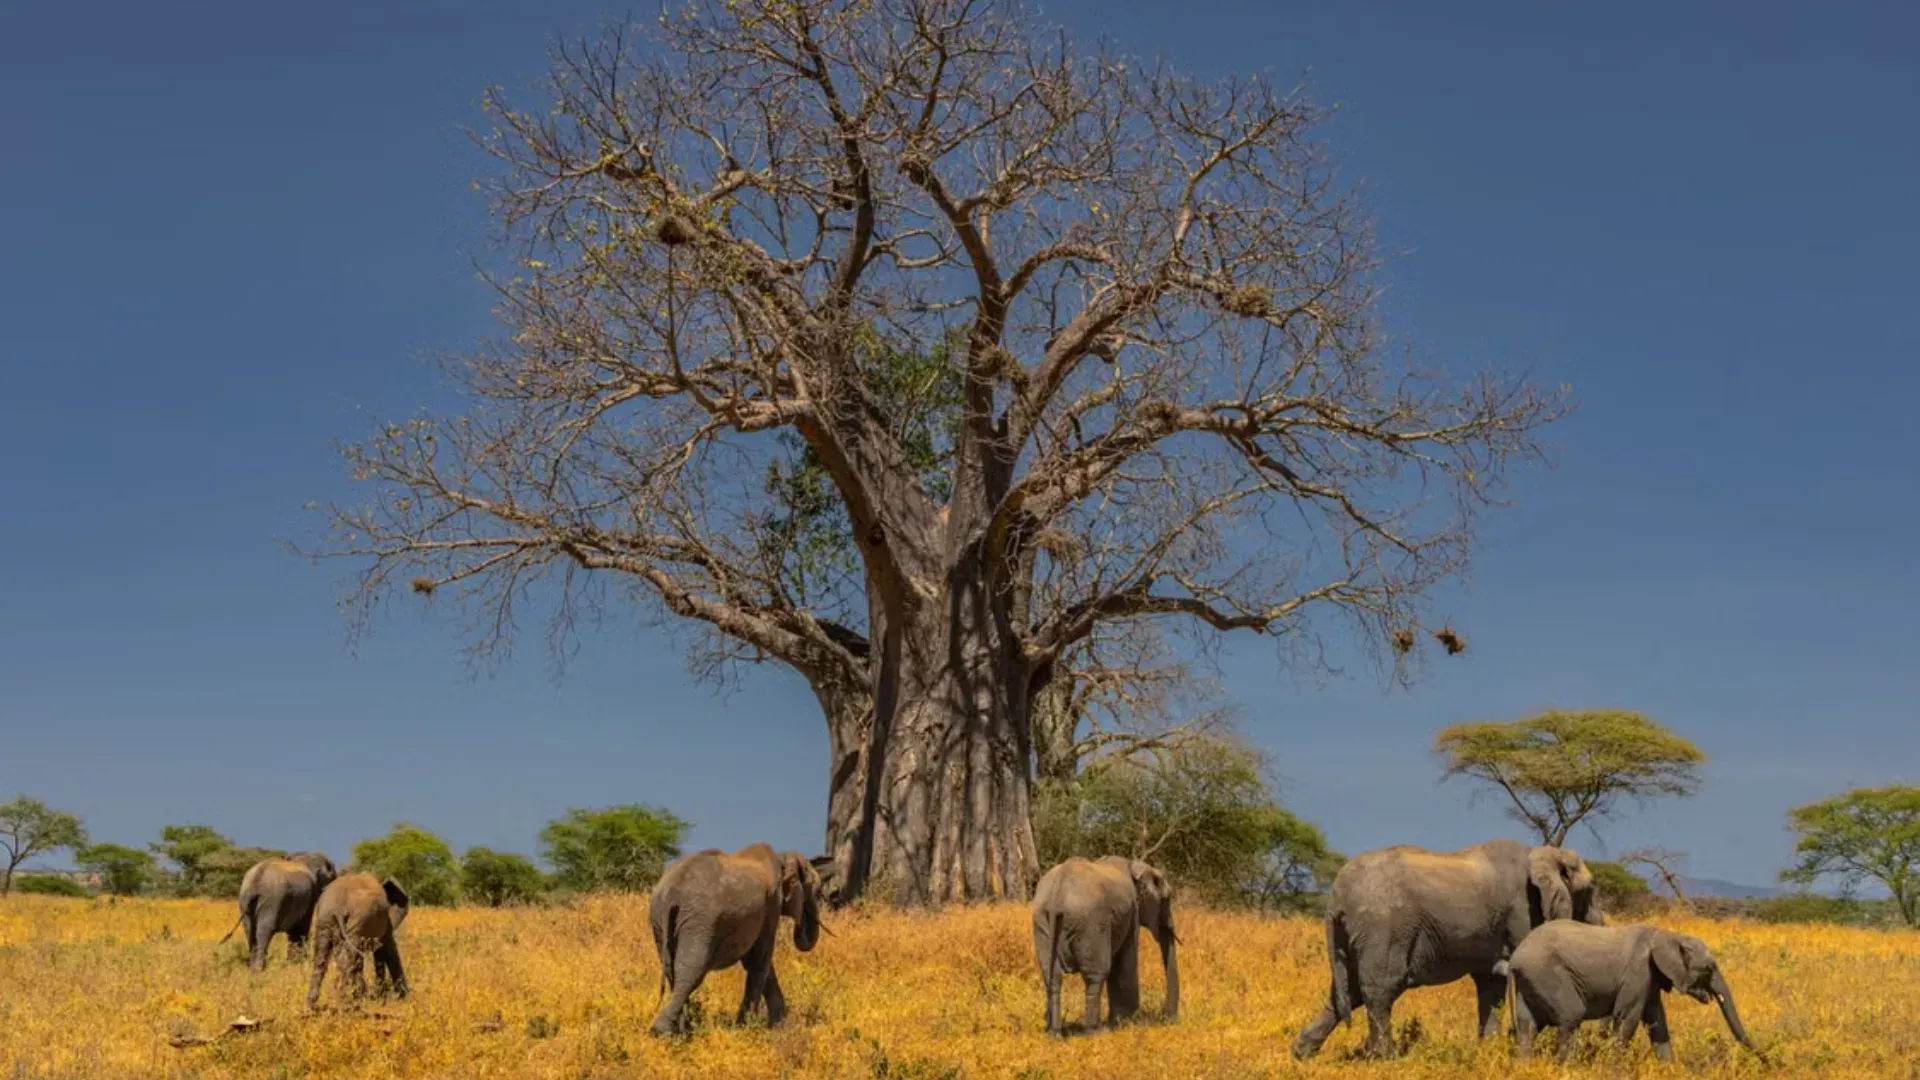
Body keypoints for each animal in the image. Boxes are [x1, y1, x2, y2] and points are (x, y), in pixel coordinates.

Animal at [305, 873, 411, 1010]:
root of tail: (338, 908)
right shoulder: (385, 922)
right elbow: (386, 950)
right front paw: (400, 998)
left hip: (325, 919)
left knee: (322, 956)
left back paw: (311, 1005)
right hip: (359, 919)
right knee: (348, 958)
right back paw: (346, 1003)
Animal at [647, 843, 823, 1037]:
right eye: (815, 890)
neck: (781, 857)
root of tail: (672, 892)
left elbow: (757, 961)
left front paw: (779, 1027)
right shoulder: (771, 905)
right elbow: (760, 959)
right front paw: (747, 1029)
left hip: (660, 919)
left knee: (671, 969)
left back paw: (681, 1031)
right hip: (700, 922)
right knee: (692, 970)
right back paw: (663, 1032)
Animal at [1030, 856, 1179, 1035]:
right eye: (1166, 899)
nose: (1170, 1019)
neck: (1136, 866)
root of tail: (1057, 896)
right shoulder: (1132, 913)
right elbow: (1125, 962)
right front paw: (1126, 1022)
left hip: (1041, 921)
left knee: (1052, 975)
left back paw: (1055, 1033)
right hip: (1091, 923)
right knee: (1095, 974)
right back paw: (1094, 1031)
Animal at [1291, 838, 1603, 1060]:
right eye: (1590, 890)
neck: (1544, 852)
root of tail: (1336, 897)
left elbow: (1492, 984)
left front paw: (1487, 1052)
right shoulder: (1522, 911)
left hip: (1355, 933)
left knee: (1347, 991)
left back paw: (1301, 1053)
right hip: (1385, 926)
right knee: (1380, 987)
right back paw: (1385, 1058)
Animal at [1510, 920, 1761, 1062]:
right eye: (1709, 969)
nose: (1765, 1062)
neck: (1670, 935)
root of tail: (1514, 959)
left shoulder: (1651, 979)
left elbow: (1657, 1022)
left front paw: (1669, 1069)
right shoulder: (1638, 972)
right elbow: (1626, 1018)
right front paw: (1612, 1069)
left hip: (1531, 980)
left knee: (1527, 1025)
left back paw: (1525, 1066)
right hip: (1548, 975)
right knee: (1571, 1017)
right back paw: (1565, 1068)